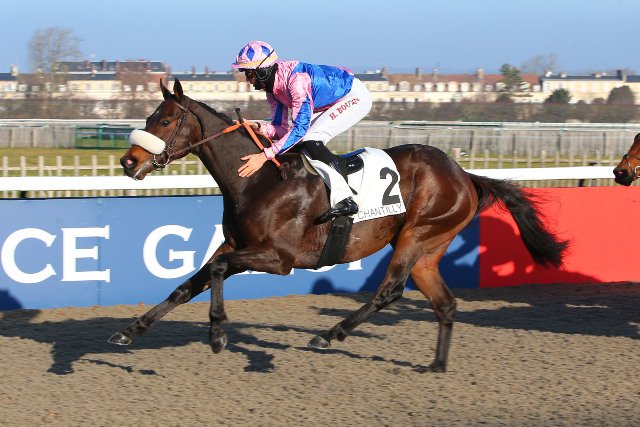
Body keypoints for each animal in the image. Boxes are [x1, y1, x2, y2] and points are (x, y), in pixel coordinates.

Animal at [111, 78, 568, 372]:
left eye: (165, 121)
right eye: (150, 117)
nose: (129, 161)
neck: (257, 179)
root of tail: (464, 175)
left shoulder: (278, 258)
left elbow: (219, 272)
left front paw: (218, 334)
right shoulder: (234, 245)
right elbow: (188, 284)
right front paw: (132, 330)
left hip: (416, 234)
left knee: (390, 290)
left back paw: (329, 335)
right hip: (429, 248)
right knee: (445, 303)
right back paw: (436, 365)